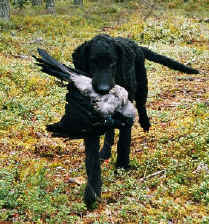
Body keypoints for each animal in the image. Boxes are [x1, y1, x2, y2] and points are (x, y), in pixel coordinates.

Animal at [72, 33, 199, 206]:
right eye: (93, 62)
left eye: (113, 63)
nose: (103, 89)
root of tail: (135, 45)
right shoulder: (91, 122)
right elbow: (92, 160)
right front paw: (92, 193)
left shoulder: (126, 115)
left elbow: (123, 144)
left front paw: (121, 166)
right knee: (110, 131)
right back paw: (105, 151)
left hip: (142, 84)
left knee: (141, 105)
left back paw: (145, 123)